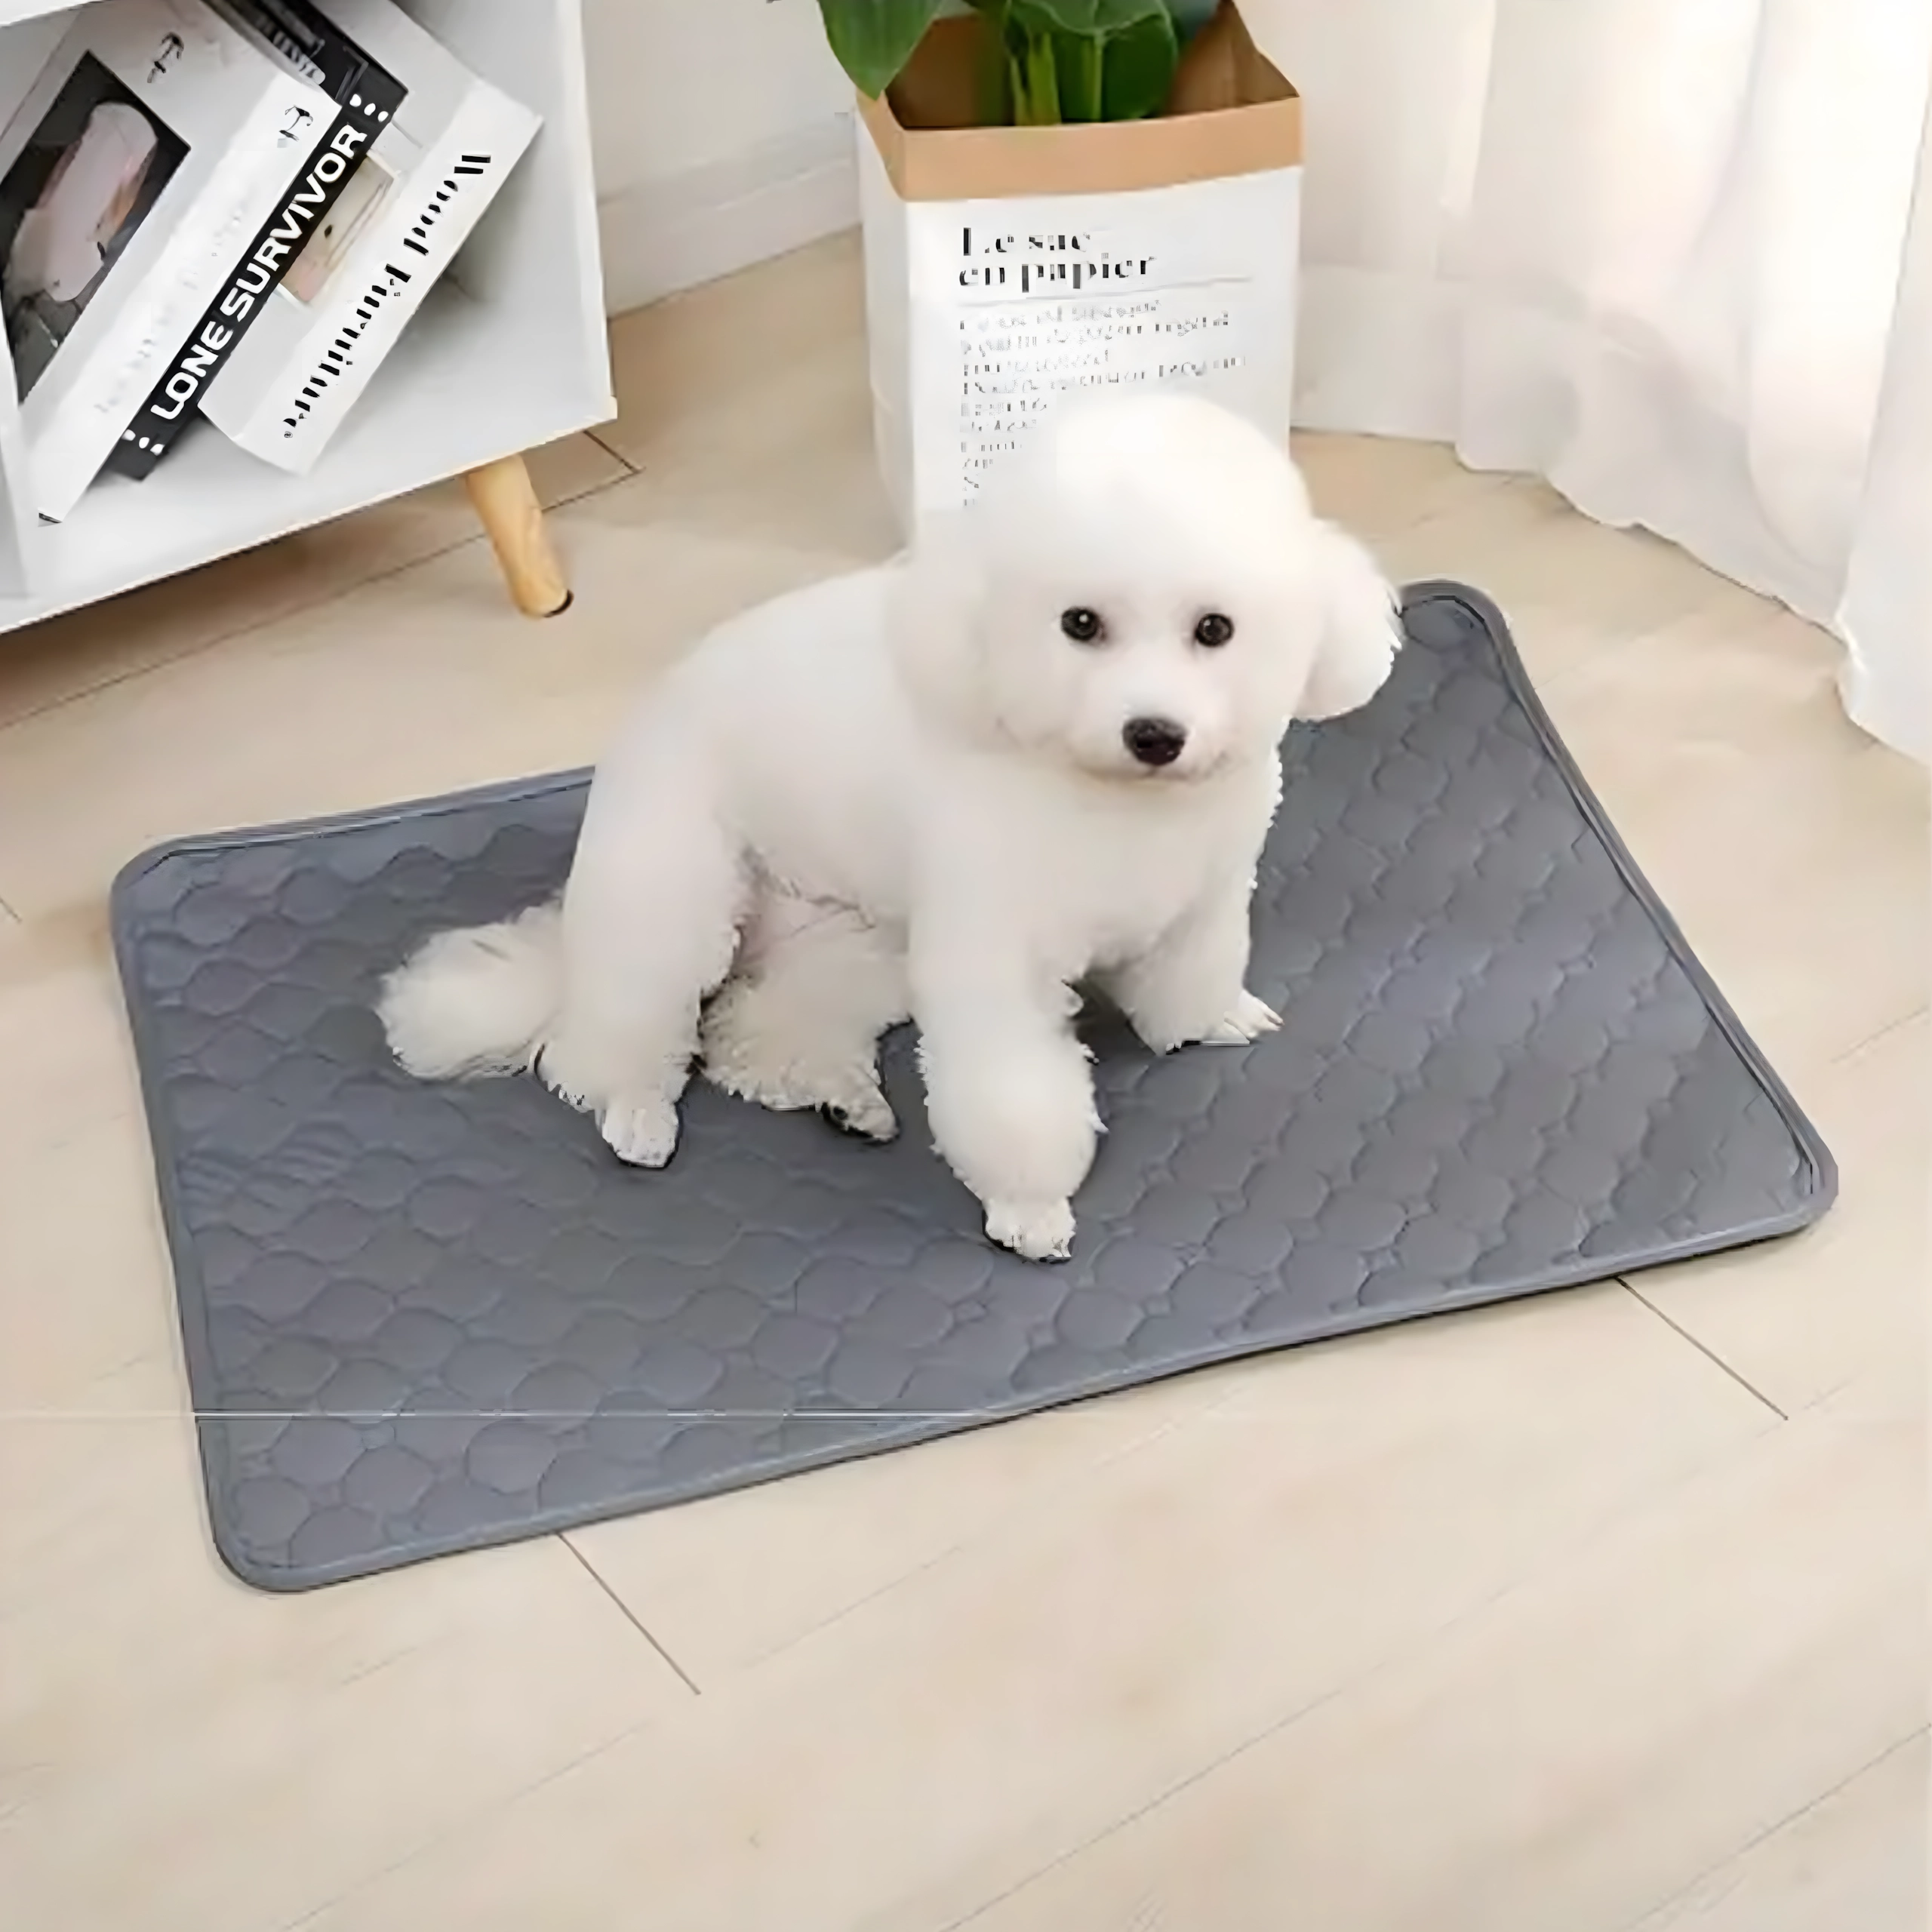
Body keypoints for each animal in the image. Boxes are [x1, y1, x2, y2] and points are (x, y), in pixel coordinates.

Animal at [377, 392, 1401, 1260]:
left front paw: (1211, 1018)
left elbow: (1190, 979)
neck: (1112, 800)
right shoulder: (993, 957)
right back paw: (637, 1112)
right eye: (1079, 623)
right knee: (606, 1039)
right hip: (672, 895)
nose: (1153, 732)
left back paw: (842, 1099)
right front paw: (1029, 1206)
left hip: (854, 941)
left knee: (759, 1030)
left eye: (1214, 630)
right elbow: (1012, 1096)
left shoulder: (1203, 896)